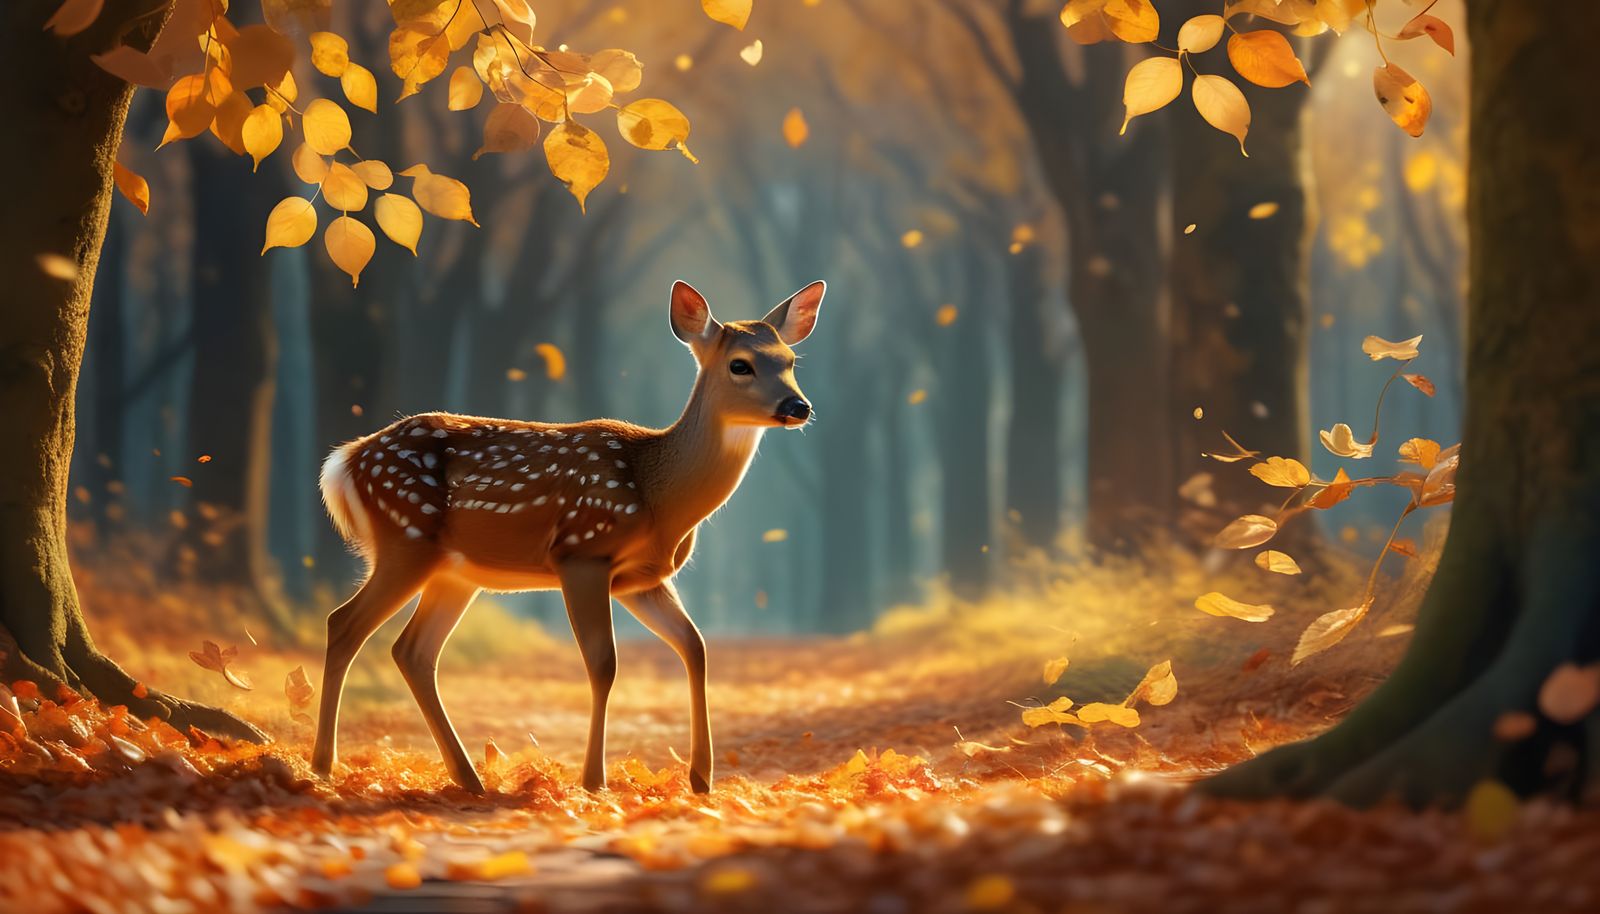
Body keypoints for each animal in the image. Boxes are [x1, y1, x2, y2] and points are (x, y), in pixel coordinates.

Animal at [310, 280, 824, 795]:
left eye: (790, 361)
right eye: (740, 364)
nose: (798, 407)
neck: (658, 494)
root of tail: (345, 461)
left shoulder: (642, 580)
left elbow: (694, 646)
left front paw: (702, 779)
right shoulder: (583, 552)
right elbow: (603, 663)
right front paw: (594, 780)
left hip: (454, 572)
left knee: (413, 651)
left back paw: (469, 778)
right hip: (405, 537)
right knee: (344, 623)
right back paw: (322, 766)